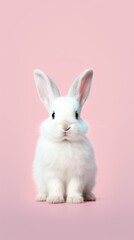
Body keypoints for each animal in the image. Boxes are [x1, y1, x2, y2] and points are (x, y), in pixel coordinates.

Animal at [33, 68, 97, 203]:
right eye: (53, 115)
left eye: (77, 115)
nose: (65, 126)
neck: (65, 142)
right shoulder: (52, 174)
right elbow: (55, 186)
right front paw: (55, 199)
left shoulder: (78, 174)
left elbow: (75, 186)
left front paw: (74, 199)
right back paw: (41, 197)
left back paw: (89, 196)